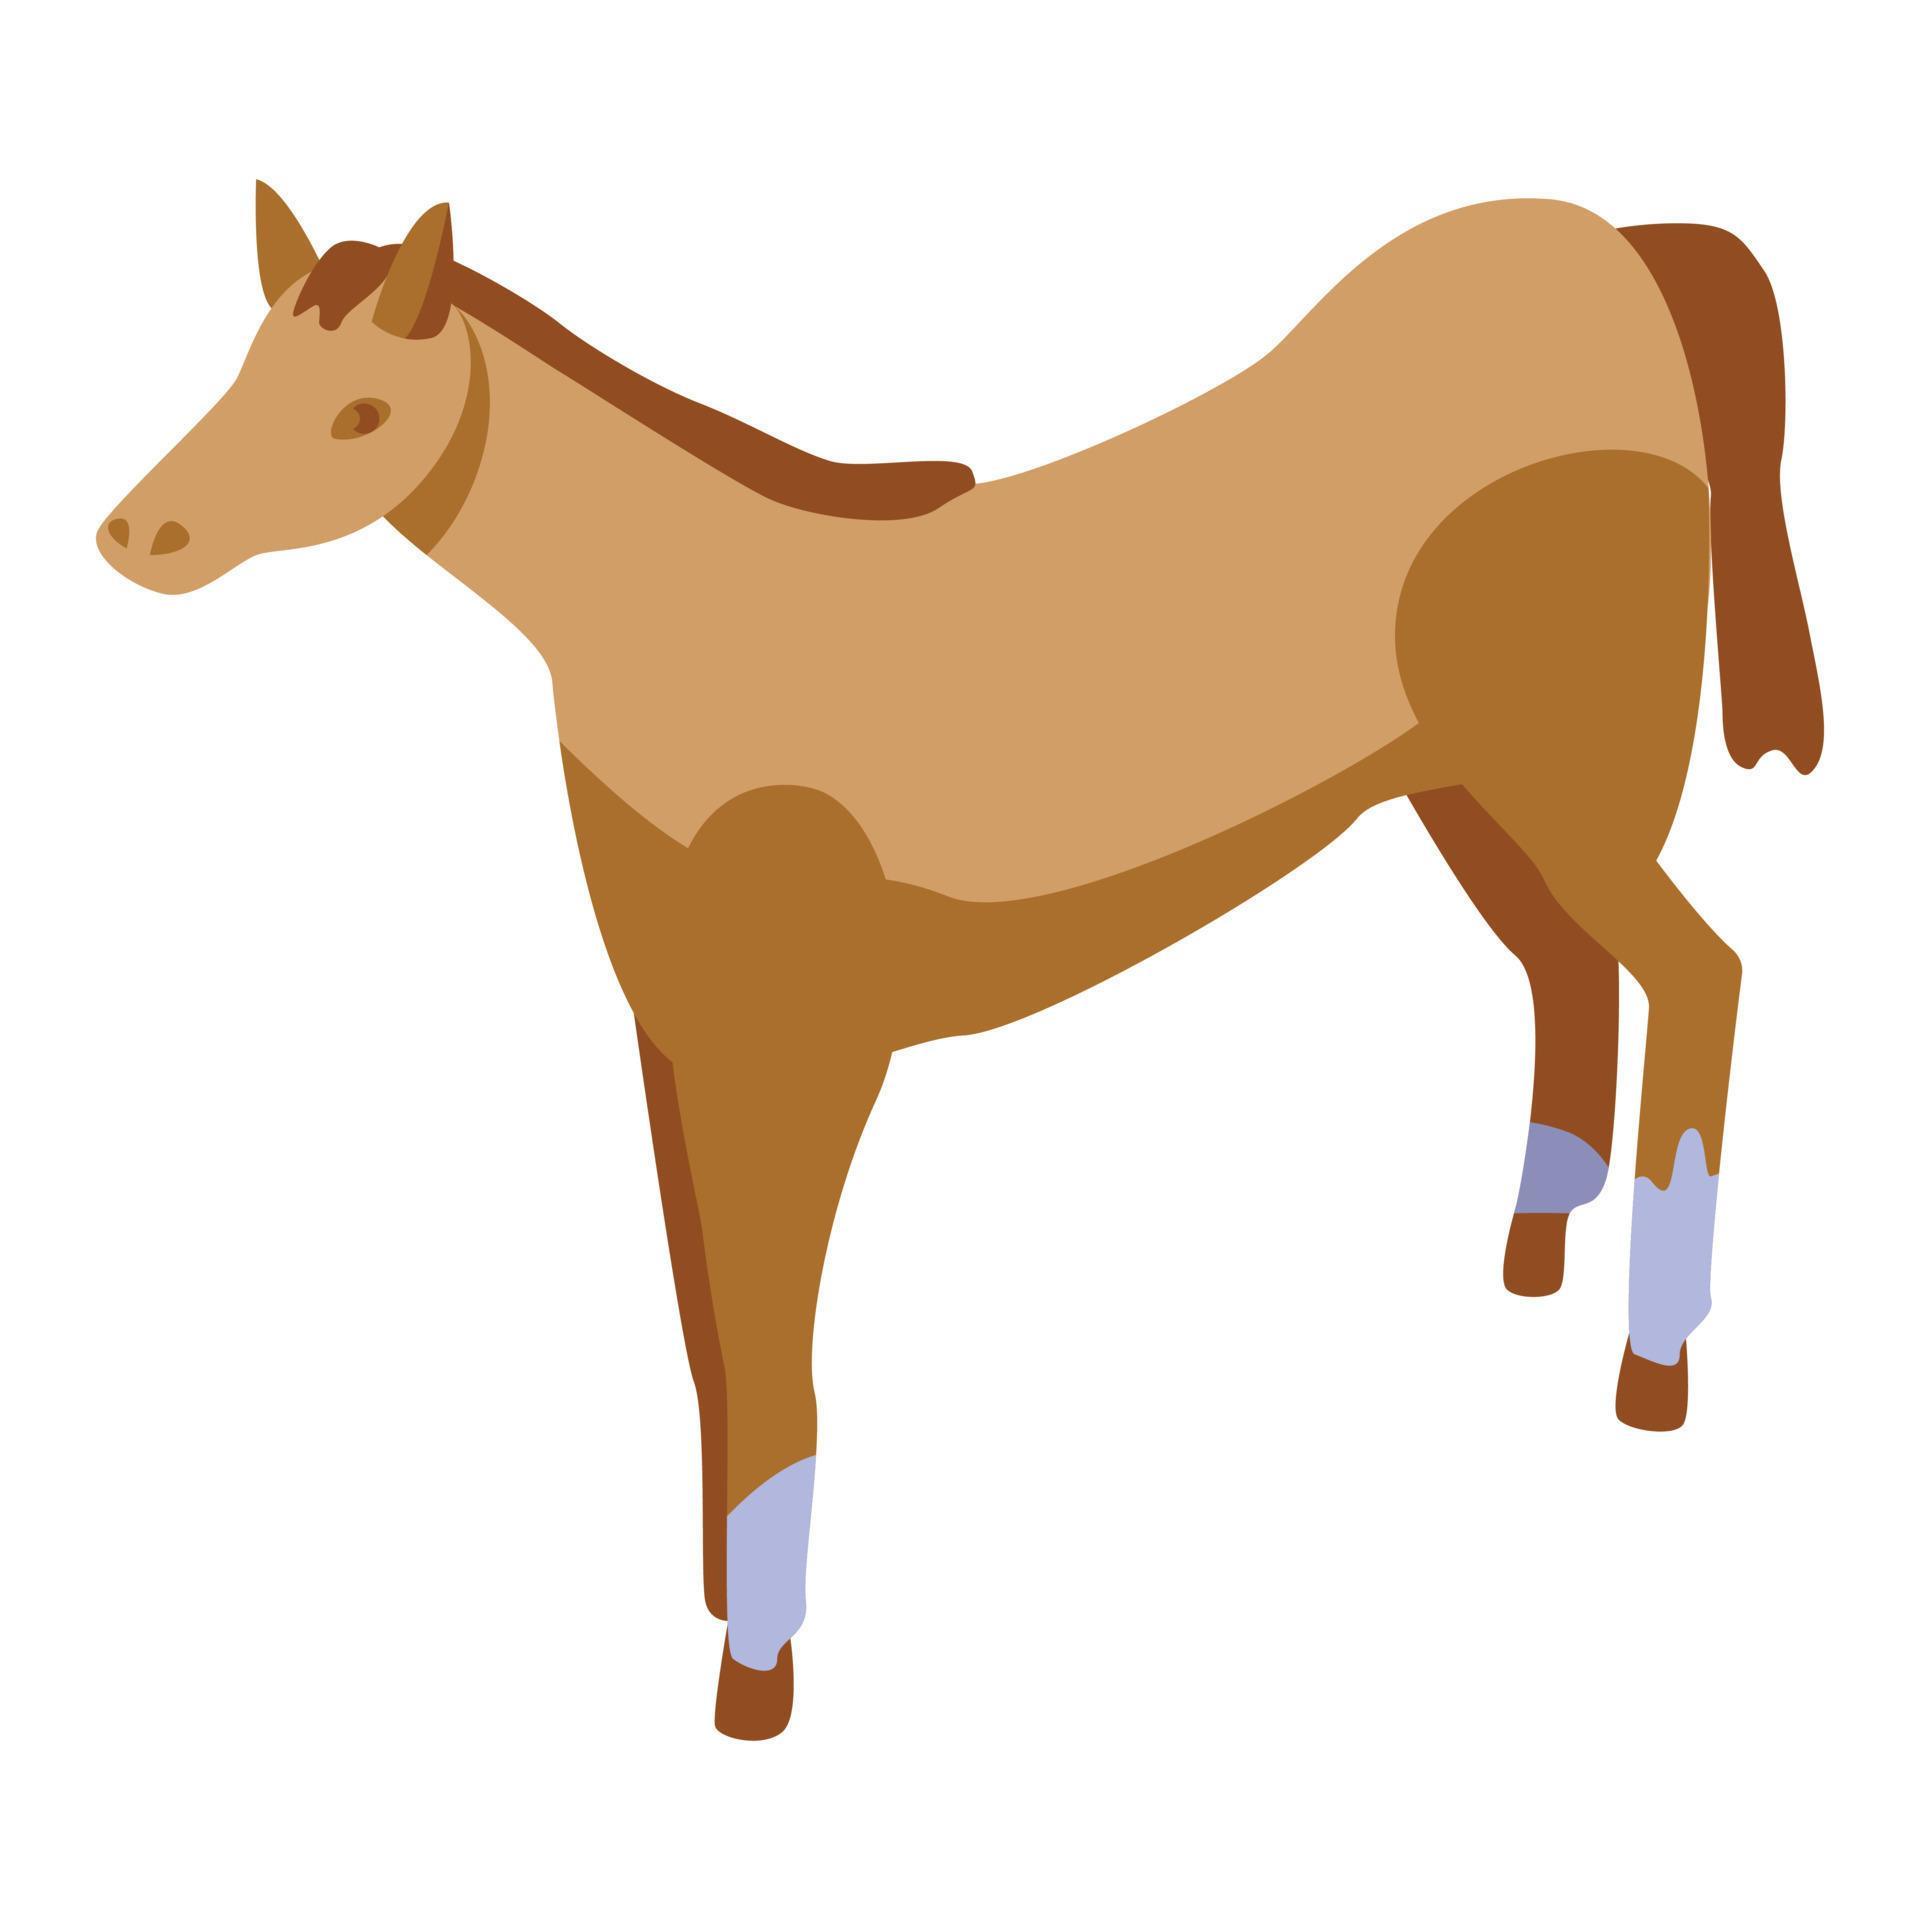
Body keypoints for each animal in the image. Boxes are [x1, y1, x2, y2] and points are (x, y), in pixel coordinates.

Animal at [97, 184, 1821, 1738]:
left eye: (360, 412)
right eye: (243, 366)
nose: (137, 537)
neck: (690, 632)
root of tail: (1609, 250)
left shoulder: (799, 1060)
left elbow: (777, 1371)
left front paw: (759, 1673)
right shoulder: (677, 1044)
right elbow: (710, 1349)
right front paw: (717, 1599)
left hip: (1564, 786)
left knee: (1700, 977)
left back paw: (1654, 1360)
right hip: (1478, 796)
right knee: (1571, 983)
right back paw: (1538, 1253)